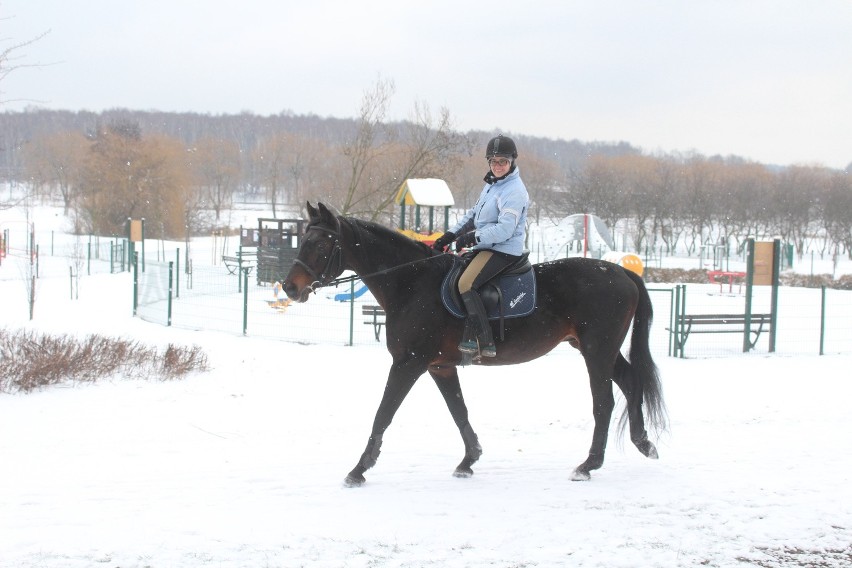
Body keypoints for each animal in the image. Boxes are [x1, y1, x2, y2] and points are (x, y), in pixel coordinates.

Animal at [286, 202, 664, 486]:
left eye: (320, 244)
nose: (290, 287)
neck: (411, 283)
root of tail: (623, 273)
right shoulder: (440, 366)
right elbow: (459, 410)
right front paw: (469, 460)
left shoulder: (409, 363)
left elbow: (383, 413)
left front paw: (358, 469)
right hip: (597, 348)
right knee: (631, 382)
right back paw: (643, 443)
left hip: (597, 350)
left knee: (604, 402)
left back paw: (589, 465)